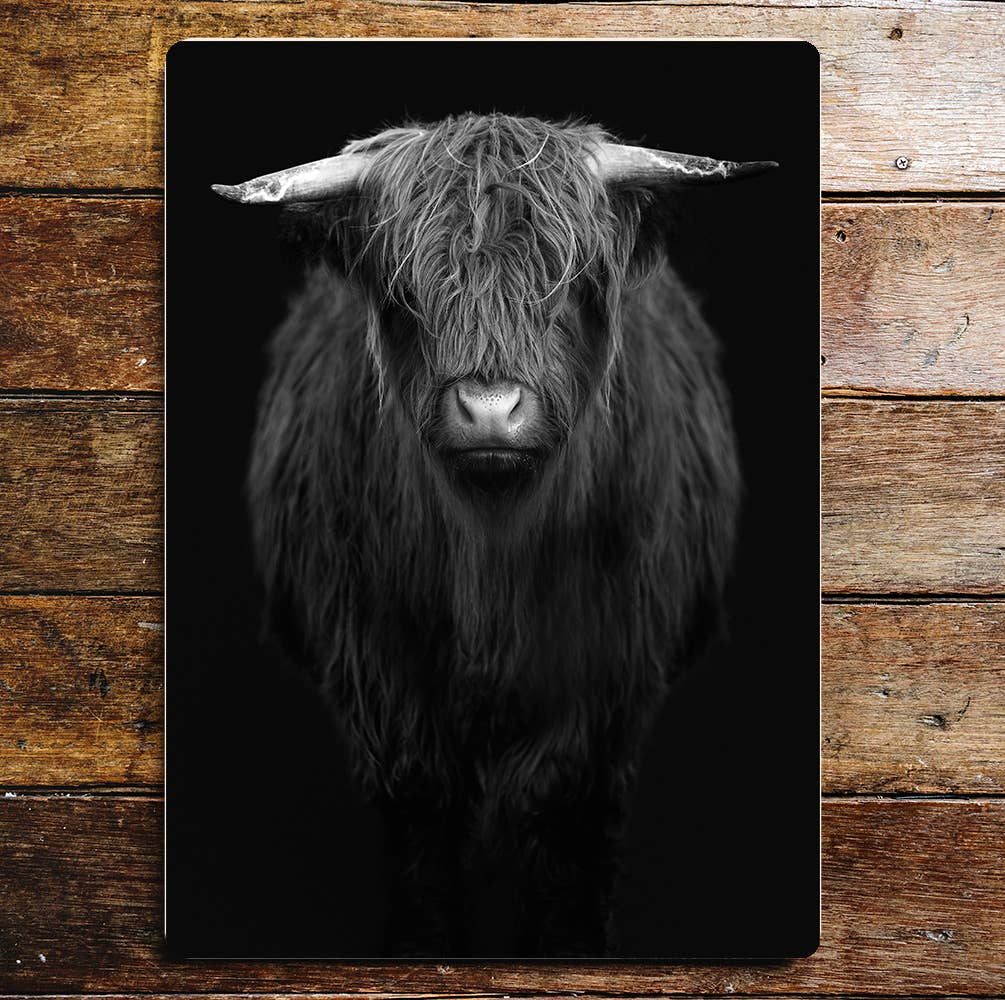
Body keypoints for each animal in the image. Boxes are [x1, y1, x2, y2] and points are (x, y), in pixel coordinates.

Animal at [212, 113, 774, 957]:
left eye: (569, 284)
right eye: (407, 290)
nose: (489, 409)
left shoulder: (603, 683)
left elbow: (560, 816)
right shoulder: (378, 675)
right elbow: (421, 816)